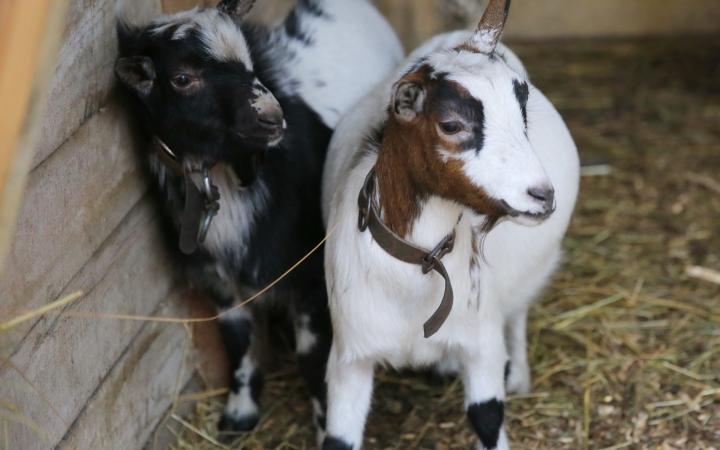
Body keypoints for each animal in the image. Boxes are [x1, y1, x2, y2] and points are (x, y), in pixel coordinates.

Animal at [115, 0, 402, 442]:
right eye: (181, 79)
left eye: (248, 61)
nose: (271, 118)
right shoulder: (221, 284)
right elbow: (239, 344)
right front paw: (238, 415)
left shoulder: (314, 278)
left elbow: (313, 359)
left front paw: (326, 426)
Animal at [320, 1, 580, 448]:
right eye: (451, 124)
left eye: (523, 115)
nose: (542, 195)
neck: (420, 265)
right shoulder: (349, 355)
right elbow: (338, 438)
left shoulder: (482, 339)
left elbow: (487, 415)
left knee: (519, 312)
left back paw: (519, 374)